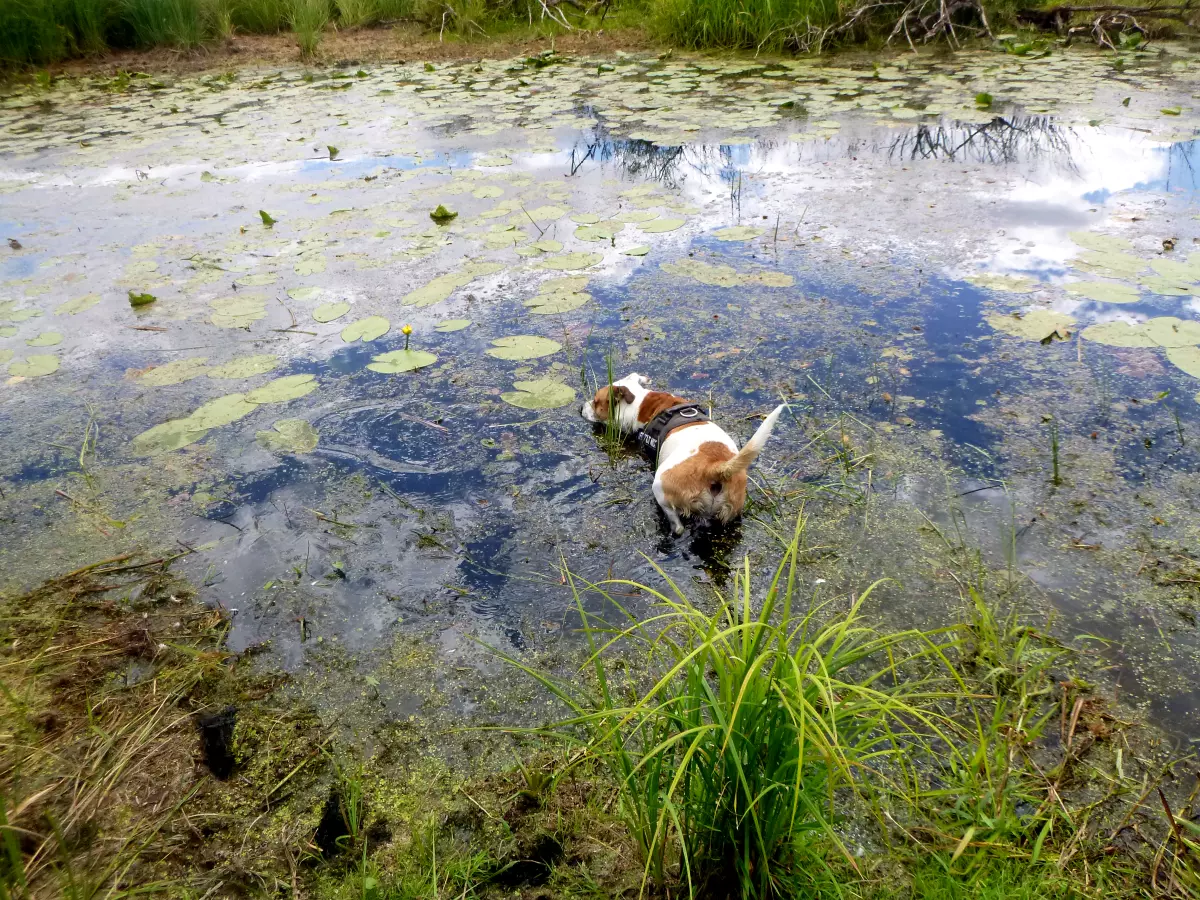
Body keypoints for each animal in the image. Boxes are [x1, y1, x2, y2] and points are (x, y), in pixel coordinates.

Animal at [580, 374, 787, 535]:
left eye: (596, 402)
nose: (580, 408)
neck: (641, 404)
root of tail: (716, 467)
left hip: (660, 486)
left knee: (677, 524)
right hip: (731, 511)